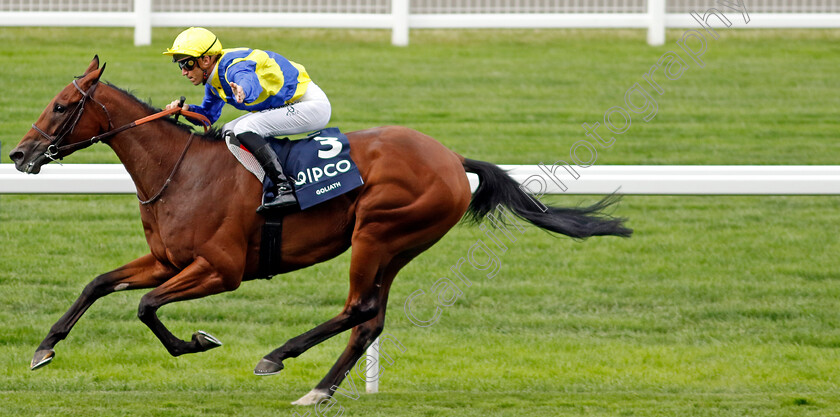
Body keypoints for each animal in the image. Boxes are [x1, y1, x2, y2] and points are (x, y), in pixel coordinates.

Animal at [8, 56, 632, 404]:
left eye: (61, 106)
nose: (19, 154)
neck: (180, 170)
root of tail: (453, 159)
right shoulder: (168, 260)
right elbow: (98, 284)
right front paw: (43, 349)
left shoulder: (220, 270)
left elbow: (147, 307)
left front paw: (196, 341)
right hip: (397, 246)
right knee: (372, 318)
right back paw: (320, 389)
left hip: (378, 233)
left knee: (358, 308)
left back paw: (279, 356)